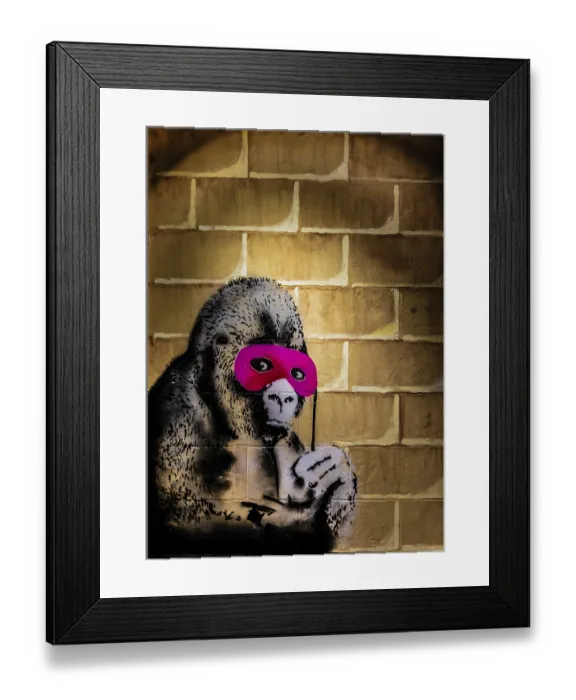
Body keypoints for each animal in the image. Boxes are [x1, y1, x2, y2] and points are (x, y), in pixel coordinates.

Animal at [148, 277, 357, 557]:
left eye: (297, 374)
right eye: (261, 365)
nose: (284, 396)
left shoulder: (286, 438)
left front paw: (339, 475)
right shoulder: (178, 413)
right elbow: (186, 523)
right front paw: (314, 518)